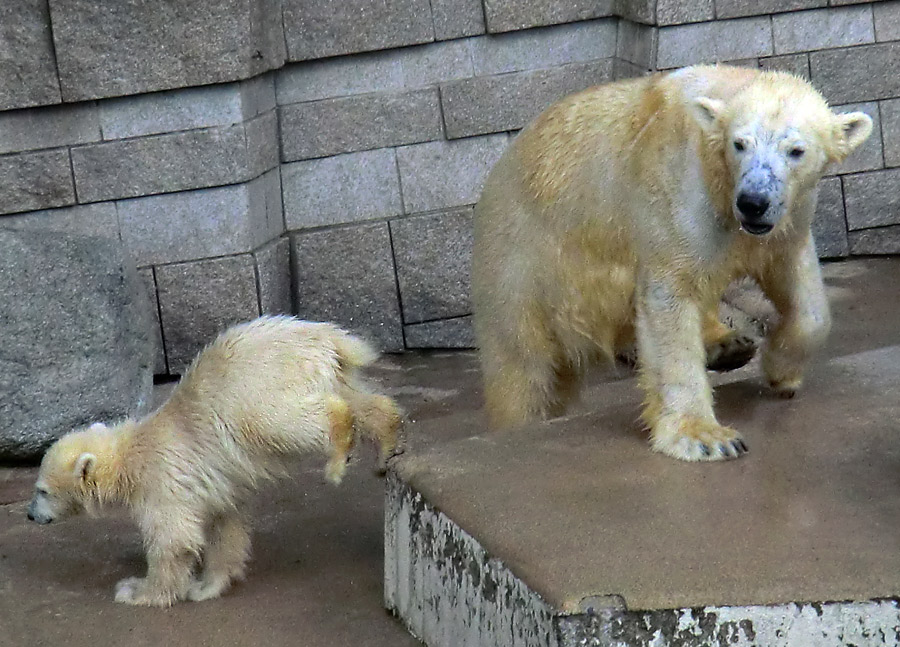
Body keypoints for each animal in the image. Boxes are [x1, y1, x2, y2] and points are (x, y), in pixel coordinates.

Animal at [472, 64, 872, 460]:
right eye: (739, 144)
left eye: (796, 150)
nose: (753, 202)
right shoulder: (679, 189)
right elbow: (671, 297)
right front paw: (705, 437)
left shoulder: (788, 218)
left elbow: (802, 290)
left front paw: (781, 370)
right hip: (525, 262)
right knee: (526, 368)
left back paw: (728, 344)